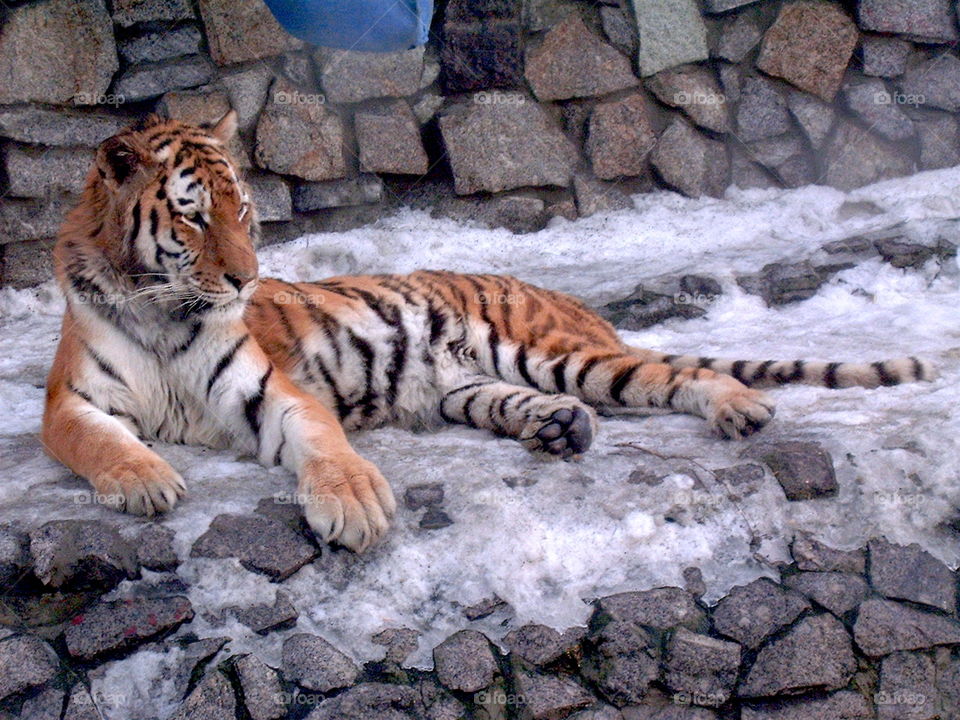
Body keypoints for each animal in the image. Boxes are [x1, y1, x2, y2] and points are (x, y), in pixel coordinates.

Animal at [42, 113, 933, 552]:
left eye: (245, 212)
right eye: (194, 217)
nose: (246, 277)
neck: (163, 309)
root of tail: (571, 301)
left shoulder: (270, 387)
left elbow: (323, 442)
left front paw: (354, 503)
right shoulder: (67, 403)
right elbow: (98, 442)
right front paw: (145, 478)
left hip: (558, 351)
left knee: (679, 375)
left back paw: (737, 409)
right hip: (470, 387)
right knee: (545, 404)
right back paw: (561, 430)